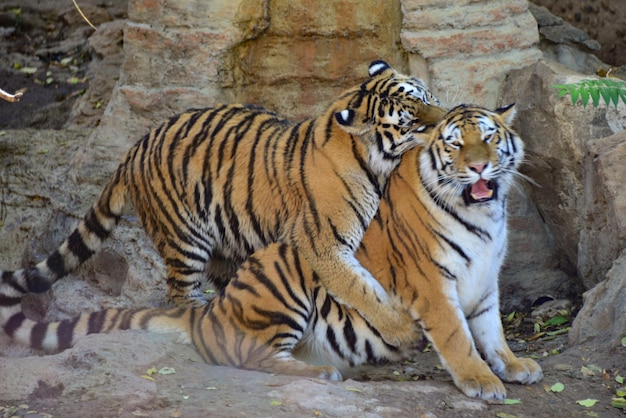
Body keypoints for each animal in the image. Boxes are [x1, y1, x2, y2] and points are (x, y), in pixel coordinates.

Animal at [1, 103, 540, 400]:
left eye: (489, 137)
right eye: (454, 145)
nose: (479, 167)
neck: (484, 219)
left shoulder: (486, 283)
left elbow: (491, 332)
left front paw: (514, 367)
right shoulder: (430, 285)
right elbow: (458, 339)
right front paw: (481, 382)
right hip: (272, 275)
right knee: (248, 354)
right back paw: (321, 372)